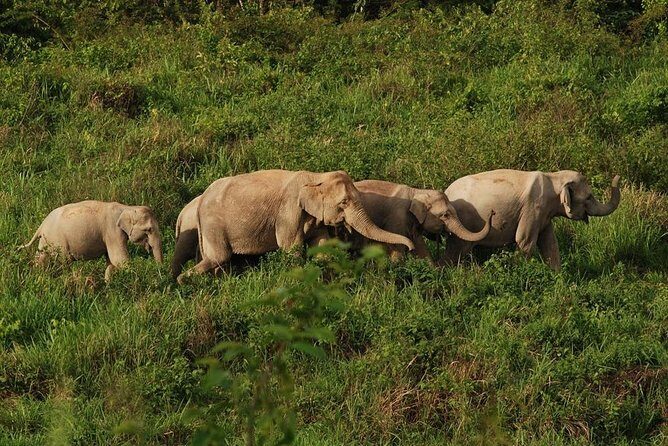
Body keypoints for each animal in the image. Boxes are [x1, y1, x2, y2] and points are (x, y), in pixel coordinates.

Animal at [19, 200, 163, 281]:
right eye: (149, 229)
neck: (127, 208)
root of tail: (42, 225)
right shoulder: (112, 231)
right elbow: (120, 260)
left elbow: (111, 262)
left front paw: (108, 283)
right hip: (57, 241)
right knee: (63, 262)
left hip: (46, 240)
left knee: (41, 258)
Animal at [176, 170, 415, 284]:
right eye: (344, 203)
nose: (411, 247)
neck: (316, 176)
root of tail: (201, 199)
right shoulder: (288, 211)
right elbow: (291, 247)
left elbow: (321, 246)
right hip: (213, 224)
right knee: (219, 257)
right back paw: (183, 282)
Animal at [345, 180, 494, 262]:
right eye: (445, 215)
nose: (492, 212)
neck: (417, 192)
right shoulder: (397, 218)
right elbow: (399, 246)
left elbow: (420, 246)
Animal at [442, 170, 621, 270]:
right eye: (589, 197)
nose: (618, 176)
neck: (553, 177)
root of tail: (447, 193)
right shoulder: (533, 207)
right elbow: (524, 240)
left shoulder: (544, 215)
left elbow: (550, 243)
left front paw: (557, 277)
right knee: (457, 251)